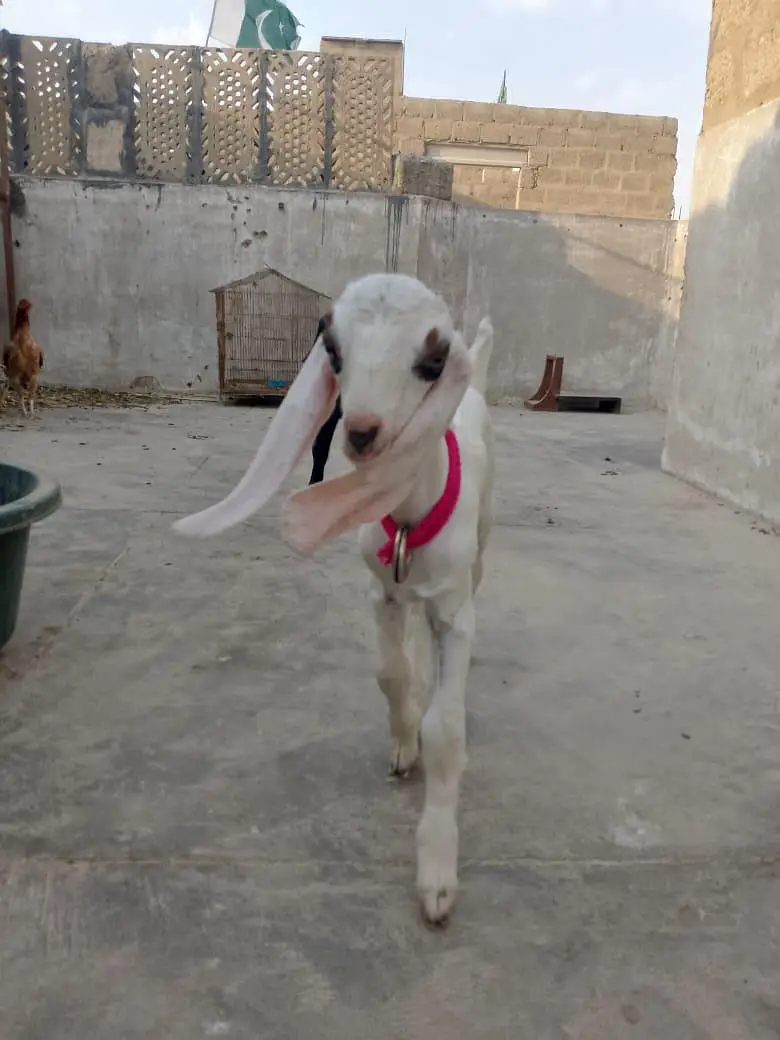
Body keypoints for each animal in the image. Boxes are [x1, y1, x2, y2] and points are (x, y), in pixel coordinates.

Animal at [174, 273, 494, 925]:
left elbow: (448, 729)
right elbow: (390, 674)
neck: (408, 518)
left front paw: (437, 874)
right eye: (334, 352)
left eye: (432, 360)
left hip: (482, 542)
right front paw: (404, 741)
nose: (362, 432)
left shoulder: (454, 610)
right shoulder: (381, 592)